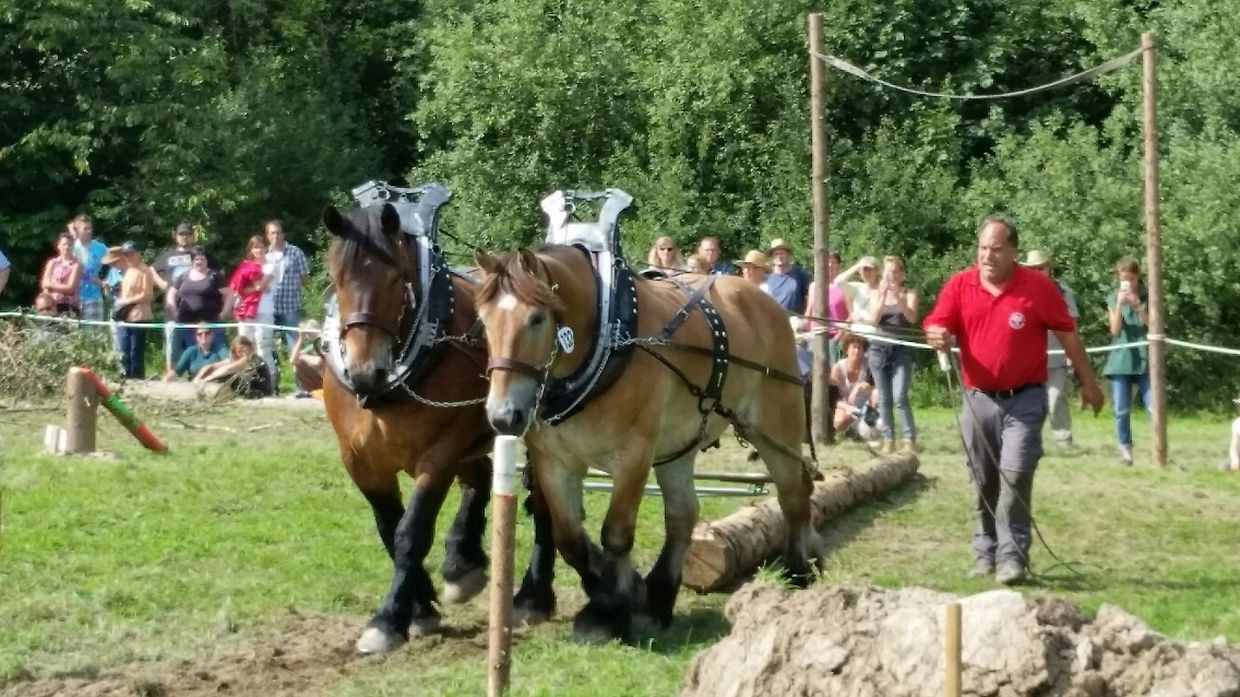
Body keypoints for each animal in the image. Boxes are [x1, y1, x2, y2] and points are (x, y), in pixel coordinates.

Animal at [320, 198, 558, 654]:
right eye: (336, 278)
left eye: (396, 277)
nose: (363, 371)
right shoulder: (359, 461)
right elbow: (388, 529)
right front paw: (419, 606)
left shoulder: (440, 453)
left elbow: (410, 532)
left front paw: (388, 619)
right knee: (480, 479)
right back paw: (462, 564)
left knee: (543, 503)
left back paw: (533, 595)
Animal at [472, 244, 824, 642]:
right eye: (483, 319)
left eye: (536, 319)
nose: (503, 416)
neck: (605, 340)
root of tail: (767, 305)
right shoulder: (553, 461)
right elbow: (569, 537)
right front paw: (627, 591)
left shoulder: (634, 456)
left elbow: (616, 534)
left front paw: (605, 612)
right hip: (678, 447)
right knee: (683, 515)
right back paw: (659, 597)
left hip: (773, 426)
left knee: (793, 495)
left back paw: (799, 570)